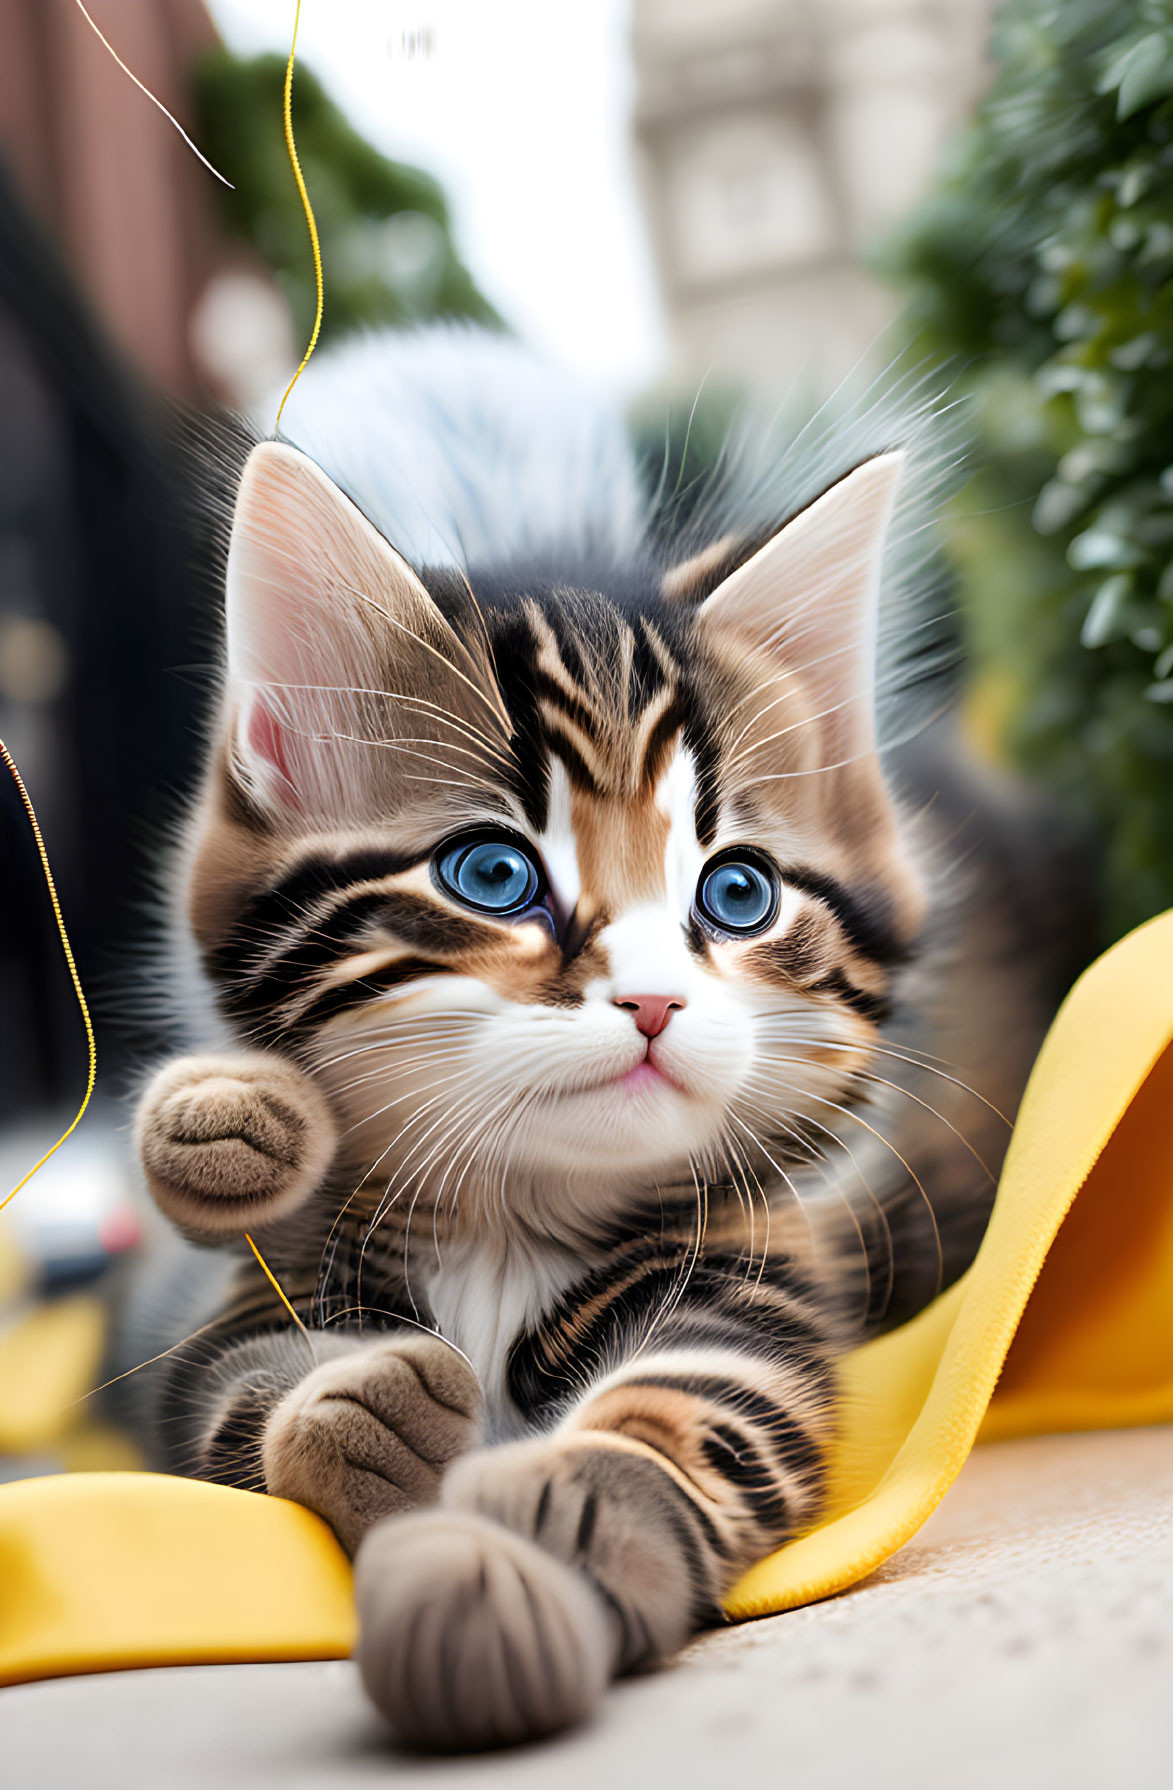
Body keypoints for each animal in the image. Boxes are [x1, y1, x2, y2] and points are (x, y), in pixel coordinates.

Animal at [135, 332, 1081, 1747]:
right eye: (492, 874)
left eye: (737, 892)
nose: (650, 1001)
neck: (508, 1219)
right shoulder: (239, 1309)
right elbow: (225, 1399)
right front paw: (357, 1408)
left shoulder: (755, 1281)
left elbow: (702, 1404)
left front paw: (583, 1499)